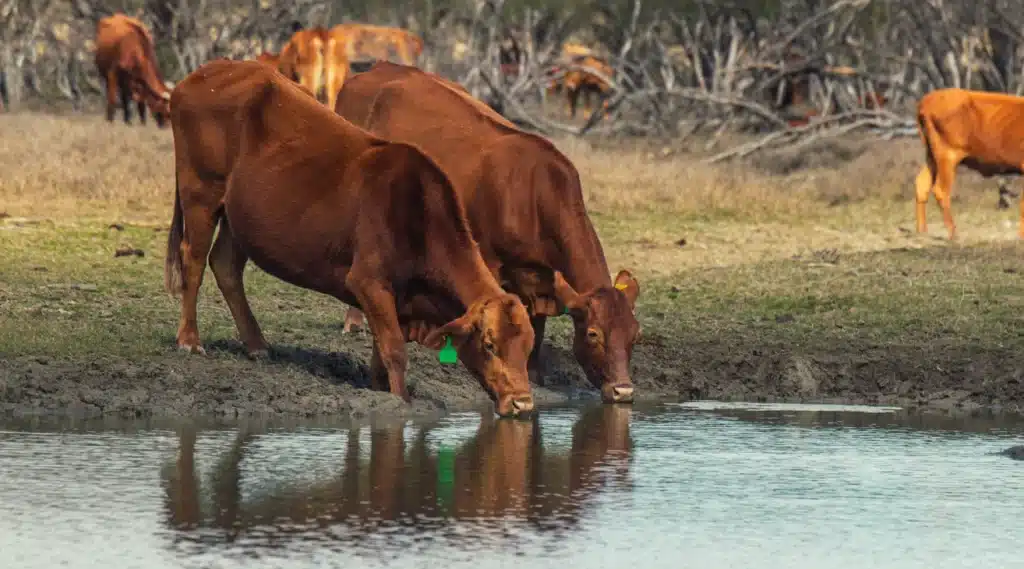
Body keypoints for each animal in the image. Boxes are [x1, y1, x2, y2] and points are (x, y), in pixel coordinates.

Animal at [164, 59, 537, 417]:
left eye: (528, 347)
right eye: (489, 345)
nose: (523, 403)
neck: (417, 215)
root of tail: (203, 74)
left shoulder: (393, 300)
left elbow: (380, 358)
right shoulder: (368, 282)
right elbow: (395, 352)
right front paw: (401, 403)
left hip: (238, 216)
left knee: (225, 264)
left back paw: (256, 346)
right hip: (200, 193)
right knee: (193, 259)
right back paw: (190, 340)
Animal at [335, 62, 642, 404]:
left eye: (634, 336)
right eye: (593, 334)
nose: (624, 390)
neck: (533, 194)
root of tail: (379, 68)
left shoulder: (542, 281)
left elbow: (537, 334)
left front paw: (534, 376)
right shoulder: (489, 260)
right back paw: (354, 321)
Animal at [914, 88, 1024, 240]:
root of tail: (927, 101)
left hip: (931, 156)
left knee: (922, 184)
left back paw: (922, 231)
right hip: (947, 156)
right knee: (941, 190)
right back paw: (953, 233)